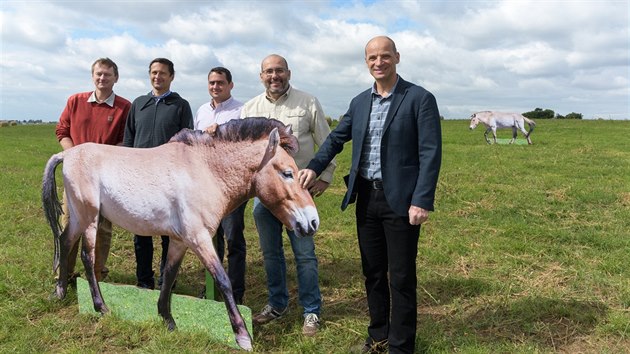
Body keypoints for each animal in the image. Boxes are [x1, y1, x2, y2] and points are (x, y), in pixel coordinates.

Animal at [41, 117, 318, 352]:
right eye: (287, 173)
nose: (312, 222)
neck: (205, 171)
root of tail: (67, 154)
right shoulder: (199, 239)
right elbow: (223, 280)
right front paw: (242, 337)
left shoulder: (179, 241)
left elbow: (169, 274)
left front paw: (167, 320)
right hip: (90, 218)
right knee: (87, 257)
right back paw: (101, 307)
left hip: (78, 217)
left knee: (64, 241)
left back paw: (60, 291)